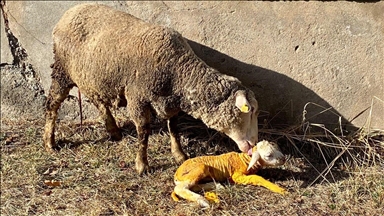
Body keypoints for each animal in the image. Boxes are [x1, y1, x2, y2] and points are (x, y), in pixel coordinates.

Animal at [42, 2, 258, 176]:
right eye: (249, 112)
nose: (254, 145)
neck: (178, 70)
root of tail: (70, 12)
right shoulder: (137, 98)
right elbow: (144, 132)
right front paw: (142, 165)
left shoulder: (169, 102)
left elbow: (174, 128)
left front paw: (179, 155)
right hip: (62, 71)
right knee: (52, 104)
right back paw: (50, 142)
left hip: (92, 76)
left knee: (97, 100)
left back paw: (114, 131)